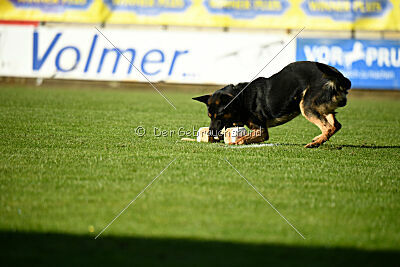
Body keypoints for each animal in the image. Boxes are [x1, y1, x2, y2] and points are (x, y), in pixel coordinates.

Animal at [192, 61, 352, 149]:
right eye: (209, 116)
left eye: (219, 115)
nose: (210, 133)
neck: (240, 99)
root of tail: (339, 77)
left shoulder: (262, 131)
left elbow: (243, 138)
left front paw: (235, 142)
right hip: (321, 105)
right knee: (335, 125)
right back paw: (319, 139)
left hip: (306, 105)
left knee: (329, 126)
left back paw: (315, 143)